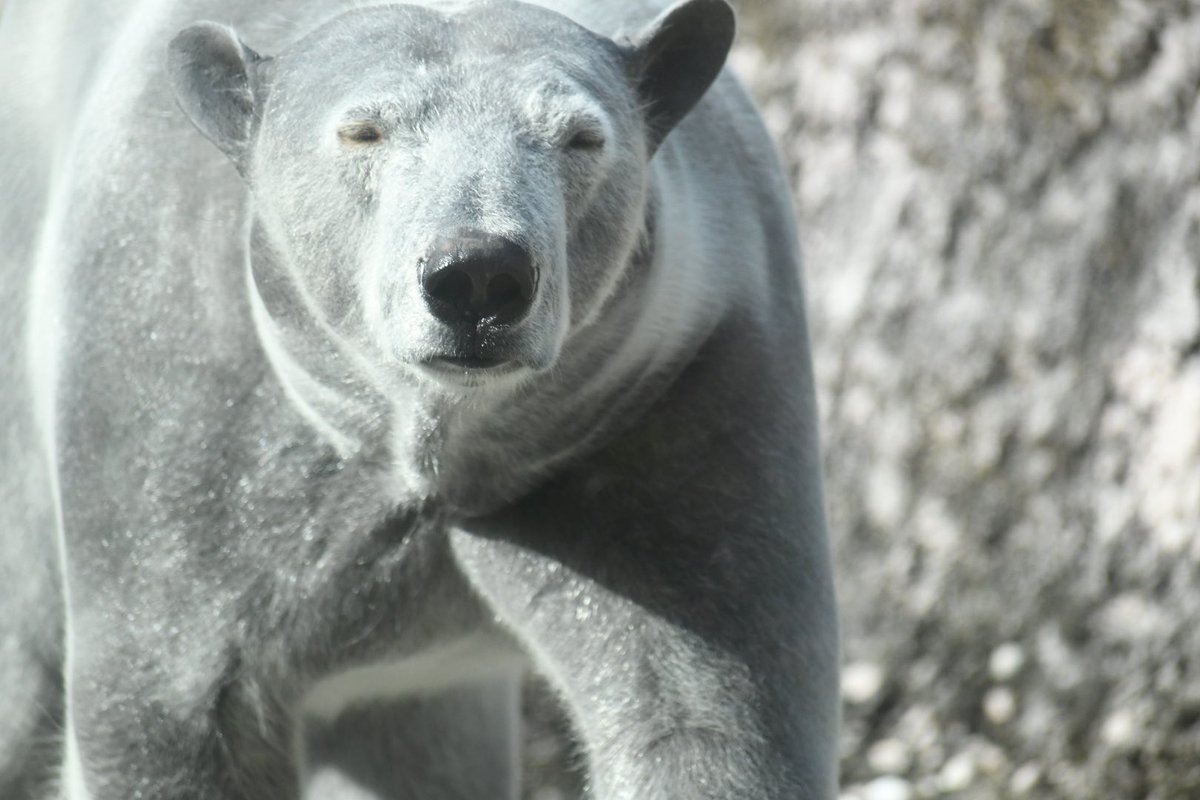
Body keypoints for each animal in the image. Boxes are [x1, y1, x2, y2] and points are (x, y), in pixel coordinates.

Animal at [0, 0, 840, 796]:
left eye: (580, 137)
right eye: (363, 131)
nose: (478, 274)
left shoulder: (675, 389)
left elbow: (708, 704)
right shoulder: (182, 397)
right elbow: (171, 704)